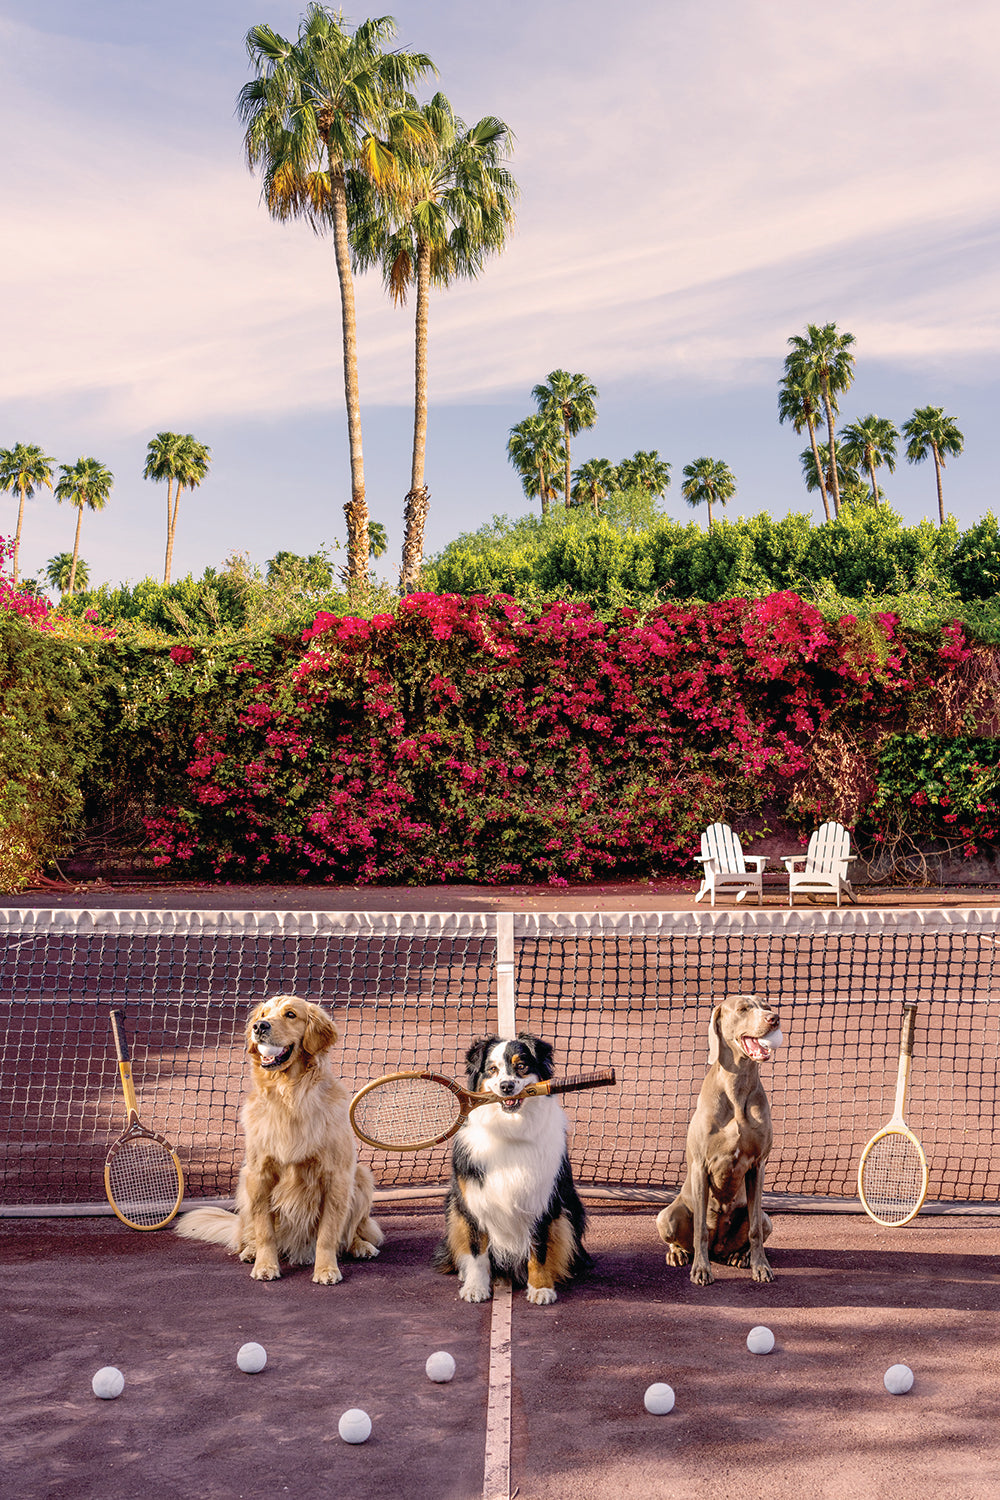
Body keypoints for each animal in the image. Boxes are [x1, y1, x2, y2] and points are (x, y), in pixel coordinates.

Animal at [653, 990, 785, 1284]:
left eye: (767, 1005)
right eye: (743, 1008)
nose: (774, 1018)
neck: (737, 1090)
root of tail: (718, 1249)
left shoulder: (758, 1165)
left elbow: (754, 1230)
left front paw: (761, 1266)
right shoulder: (701, 1166)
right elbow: (700, 1229)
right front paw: (701, 1270)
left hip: (766, 1218)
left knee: (756, 1225)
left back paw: (740, 1256)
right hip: (667, 1215)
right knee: (684, 1235)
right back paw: (678, 1254)